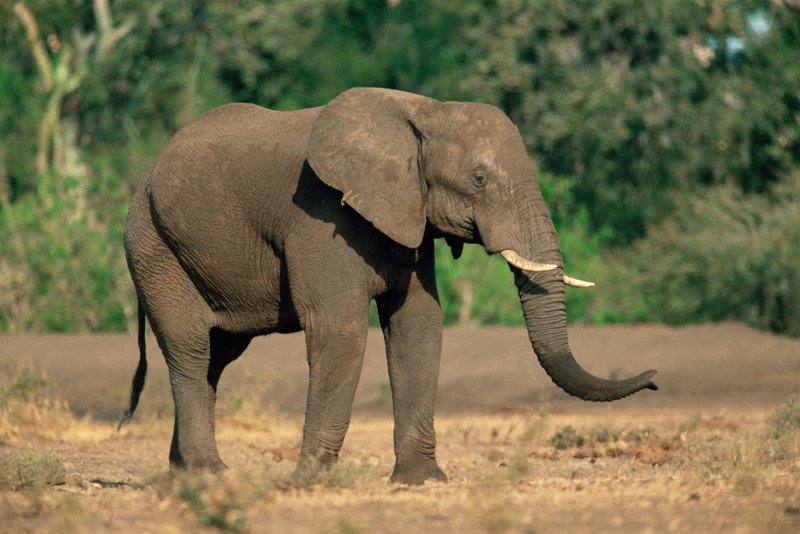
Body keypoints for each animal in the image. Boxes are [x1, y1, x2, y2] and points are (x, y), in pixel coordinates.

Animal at [117, 88, 656, 486]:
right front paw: (309, 483)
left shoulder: (409, 219)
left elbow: (418, 327)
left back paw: (184, 477)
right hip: (153, 248)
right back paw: (211, 475)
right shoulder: (321, 216)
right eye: (479, 179)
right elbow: (340, 331)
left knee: (216, 356)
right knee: (190, 349)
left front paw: (422, 481)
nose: (653, 379)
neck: (424, 111)